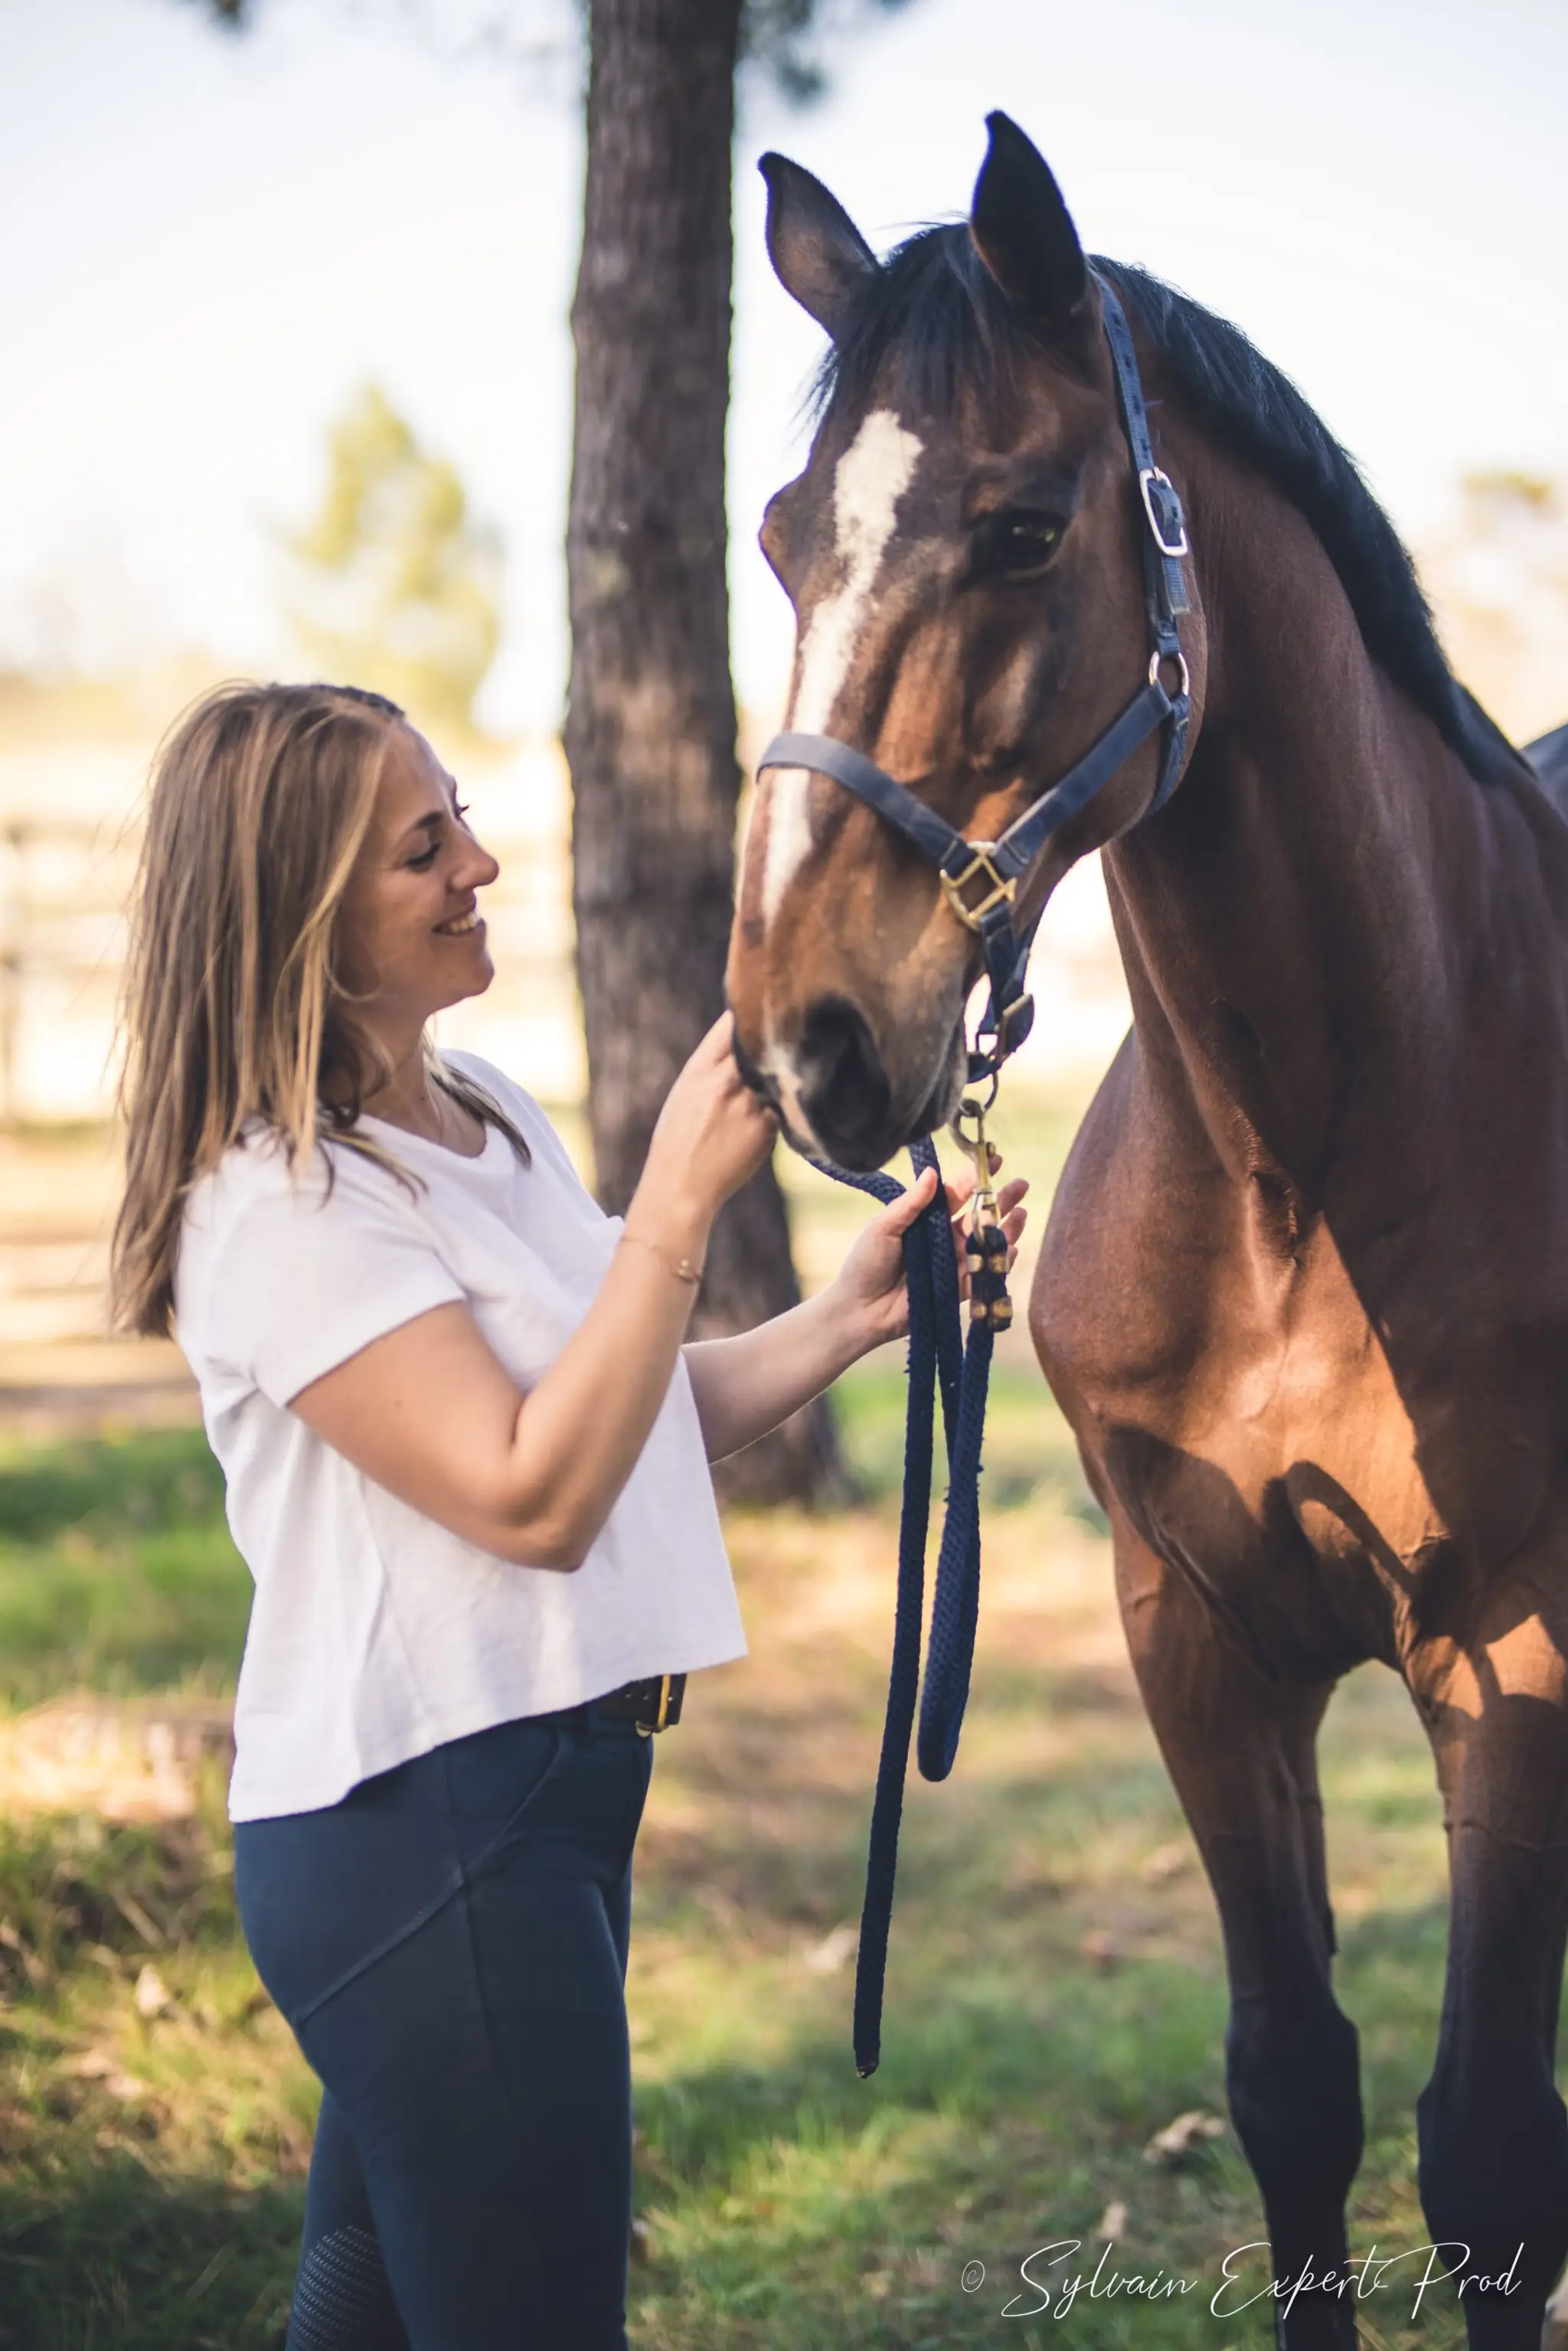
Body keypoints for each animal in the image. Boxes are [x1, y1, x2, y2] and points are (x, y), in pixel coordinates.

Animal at [725, 111, 1568, 2351]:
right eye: (778, 538)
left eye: (1025, 531)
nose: (804, 1036)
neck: (1303, 1179)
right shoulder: (1191, 1631)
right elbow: (1295, 2086)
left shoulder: (1515, 1648)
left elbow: (1489, 2140)